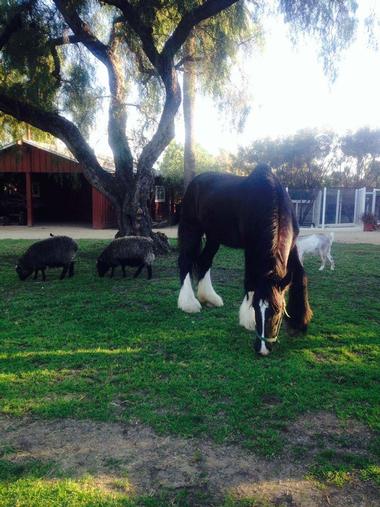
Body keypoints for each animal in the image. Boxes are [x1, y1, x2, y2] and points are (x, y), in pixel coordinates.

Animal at [177, 165, 312, 356]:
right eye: (255, 307)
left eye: (278, 310)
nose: (262, 349)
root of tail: (195, 182)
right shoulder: (251, 249)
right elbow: (250, 280)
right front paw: (247, 320)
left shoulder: (292, 246)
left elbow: (301, 277)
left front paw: (299, 323)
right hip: (192, 228)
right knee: (185, 262)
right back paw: (189, 303)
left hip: (214, 236)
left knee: (204, 262)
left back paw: (209, 297)